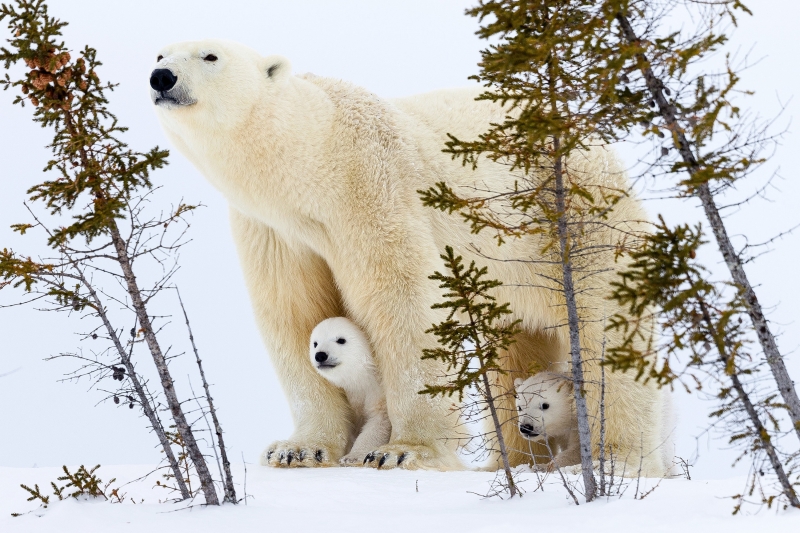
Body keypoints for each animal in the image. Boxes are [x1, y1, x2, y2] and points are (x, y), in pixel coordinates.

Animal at [308, 318, 392, 464]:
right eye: (315, 343)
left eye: (341, 340)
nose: (320, 355)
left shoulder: (377, 390)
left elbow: (379, 420)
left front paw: (351, 457)